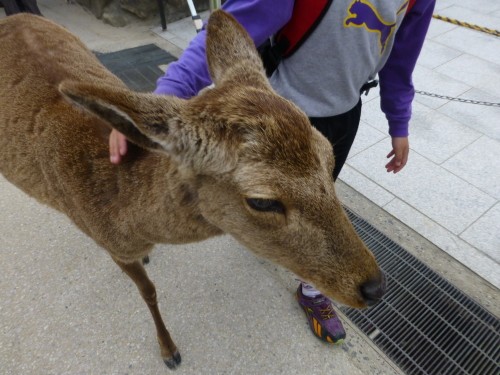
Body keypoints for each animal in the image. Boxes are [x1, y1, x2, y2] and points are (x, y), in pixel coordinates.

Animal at [0, 10, 386, 372]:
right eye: (261, 200)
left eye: (329, 154)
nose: (374, 287)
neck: (120, 210)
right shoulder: (112, 244)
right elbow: (149, 292)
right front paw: (169, 351)